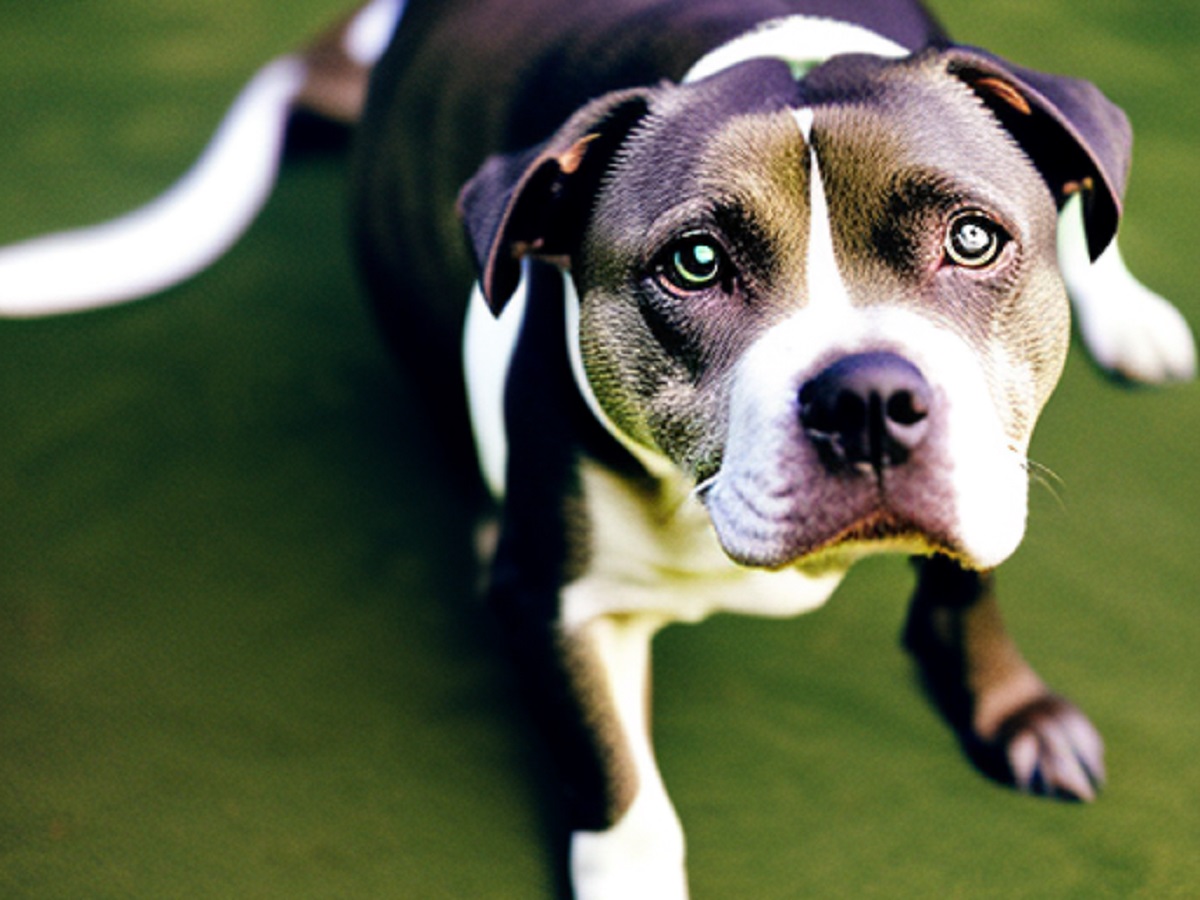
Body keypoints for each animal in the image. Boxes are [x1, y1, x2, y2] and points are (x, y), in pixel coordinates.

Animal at [0, 3, 1195, 897]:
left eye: (975, 239)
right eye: (696, 263)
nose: (868, 398)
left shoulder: (991, 460)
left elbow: (969, 583)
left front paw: (1011, 708)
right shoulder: (557, 597)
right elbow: (618, 780)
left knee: (1088, 205)